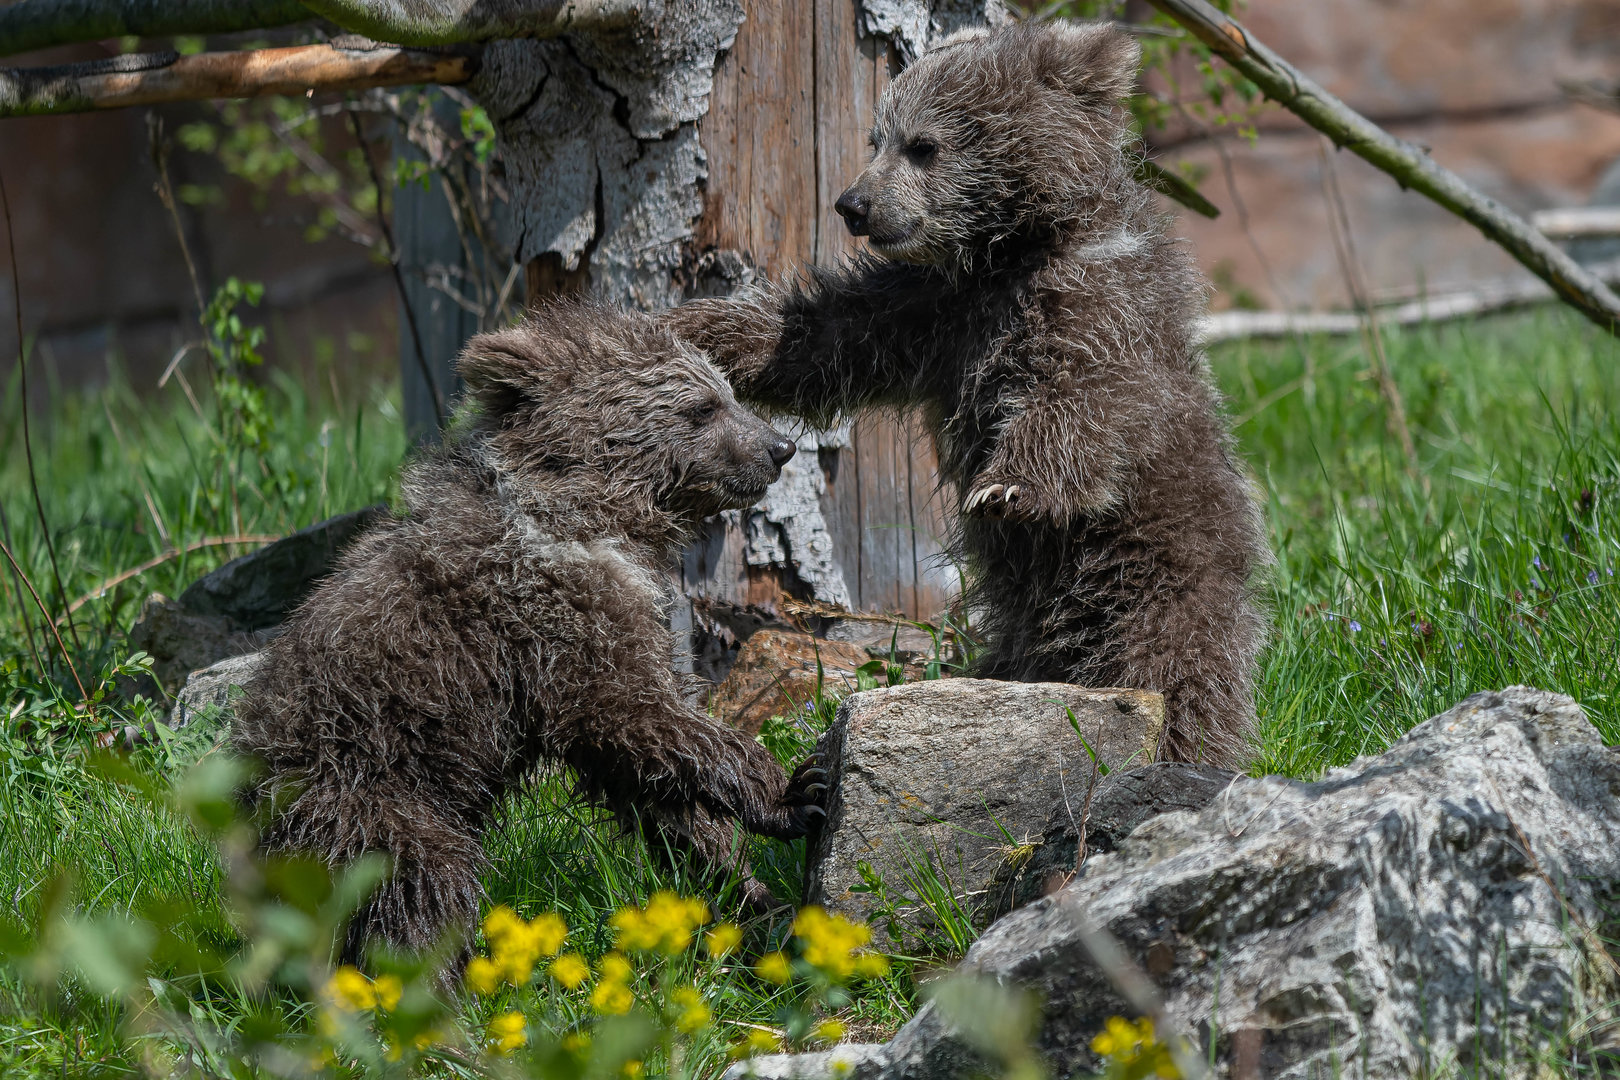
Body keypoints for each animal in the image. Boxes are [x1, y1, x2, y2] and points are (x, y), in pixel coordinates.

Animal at [231, 299, 825, 961]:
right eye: (702, 407)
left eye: (726, 391)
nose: (780, 446)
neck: (586, 514)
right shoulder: (552, 619)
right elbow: (633, 713)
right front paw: (791, 791)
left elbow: (649, 772)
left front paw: (749, 896)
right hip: (365, 787)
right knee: (419, 884)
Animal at [664, 22, 1271, 768]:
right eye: (877, 138)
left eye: (923, 144)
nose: (853, 204)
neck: (1002, 253)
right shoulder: (929, 314)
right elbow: (821, 335)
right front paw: (701, 326)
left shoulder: (1098, 307)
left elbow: (1088, 396)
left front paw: (1008, 486)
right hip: (1029, 612)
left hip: (1156, 562)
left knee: (1171, 662)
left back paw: (1184, 752)